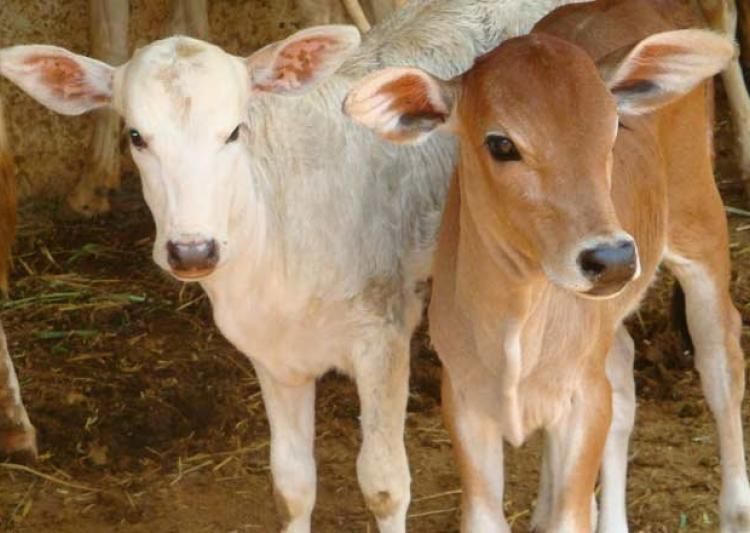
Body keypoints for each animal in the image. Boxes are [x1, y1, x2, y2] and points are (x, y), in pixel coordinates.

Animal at [0, 0, 582, 529]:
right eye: (135, 137)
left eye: (235, 131)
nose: (193, 250)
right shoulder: (270, 353)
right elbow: (292, 483)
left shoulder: (383, 333)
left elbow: (385, 485)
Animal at [344, 0, 749, 530]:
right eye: (501, 144)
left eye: (614, 127)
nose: (612, 258)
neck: (517, 327)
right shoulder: (466, 402)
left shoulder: (582, 401)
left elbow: (571, 512)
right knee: (624, 368)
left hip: (698, 218)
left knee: (722, 359)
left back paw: (735, 508)